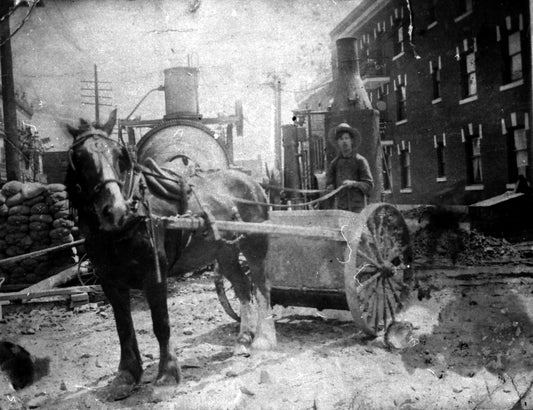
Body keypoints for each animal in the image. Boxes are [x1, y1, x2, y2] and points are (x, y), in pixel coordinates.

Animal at [63, 109, 274, 400]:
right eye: (80, 158)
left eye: (118, 155)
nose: (115, 210)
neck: (133, 218)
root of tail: (252, 182)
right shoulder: (109, 281)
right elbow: (123, 327)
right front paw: (127, 375)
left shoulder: (155, 274)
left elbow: (161, 323)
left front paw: (167, 376)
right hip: (225, 252)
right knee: (243, 287)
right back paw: (244, 339)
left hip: (254, 245)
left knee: (261, 285)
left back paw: (263, 339)